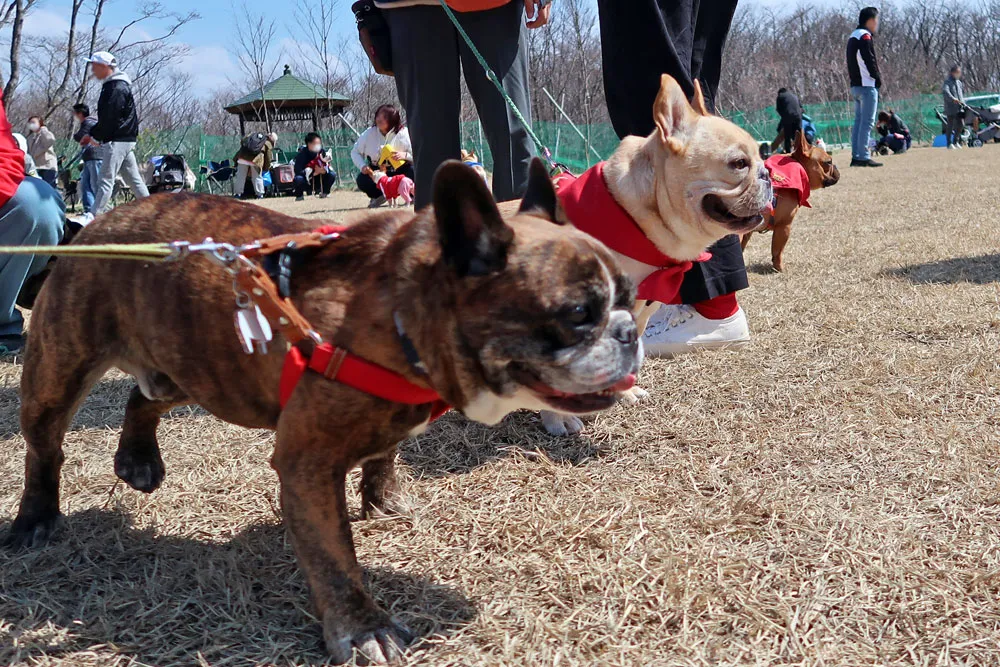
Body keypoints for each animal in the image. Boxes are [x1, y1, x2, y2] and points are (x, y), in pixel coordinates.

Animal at [9, 159, 640, 664]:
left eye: (629, 297)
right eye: (578, 314)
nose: (629, 332)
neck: (401, 312)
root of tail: (96, 225)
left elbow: (385, 453)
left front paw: (383, 499)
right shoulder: (307, 464)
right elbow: (335, 558)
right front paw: (362, 630)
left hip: (198, 365)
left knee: (145, 394)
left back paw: (138, 460)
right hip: (61, 369)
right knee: (46, 447)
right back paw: (35, 518)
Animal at [740, 132, 840, 272]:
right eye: (828, 162)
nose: (836, 166)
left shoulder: (748, 231)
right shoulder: (784, 226)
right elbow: (778, 251)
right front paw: (779, 268)